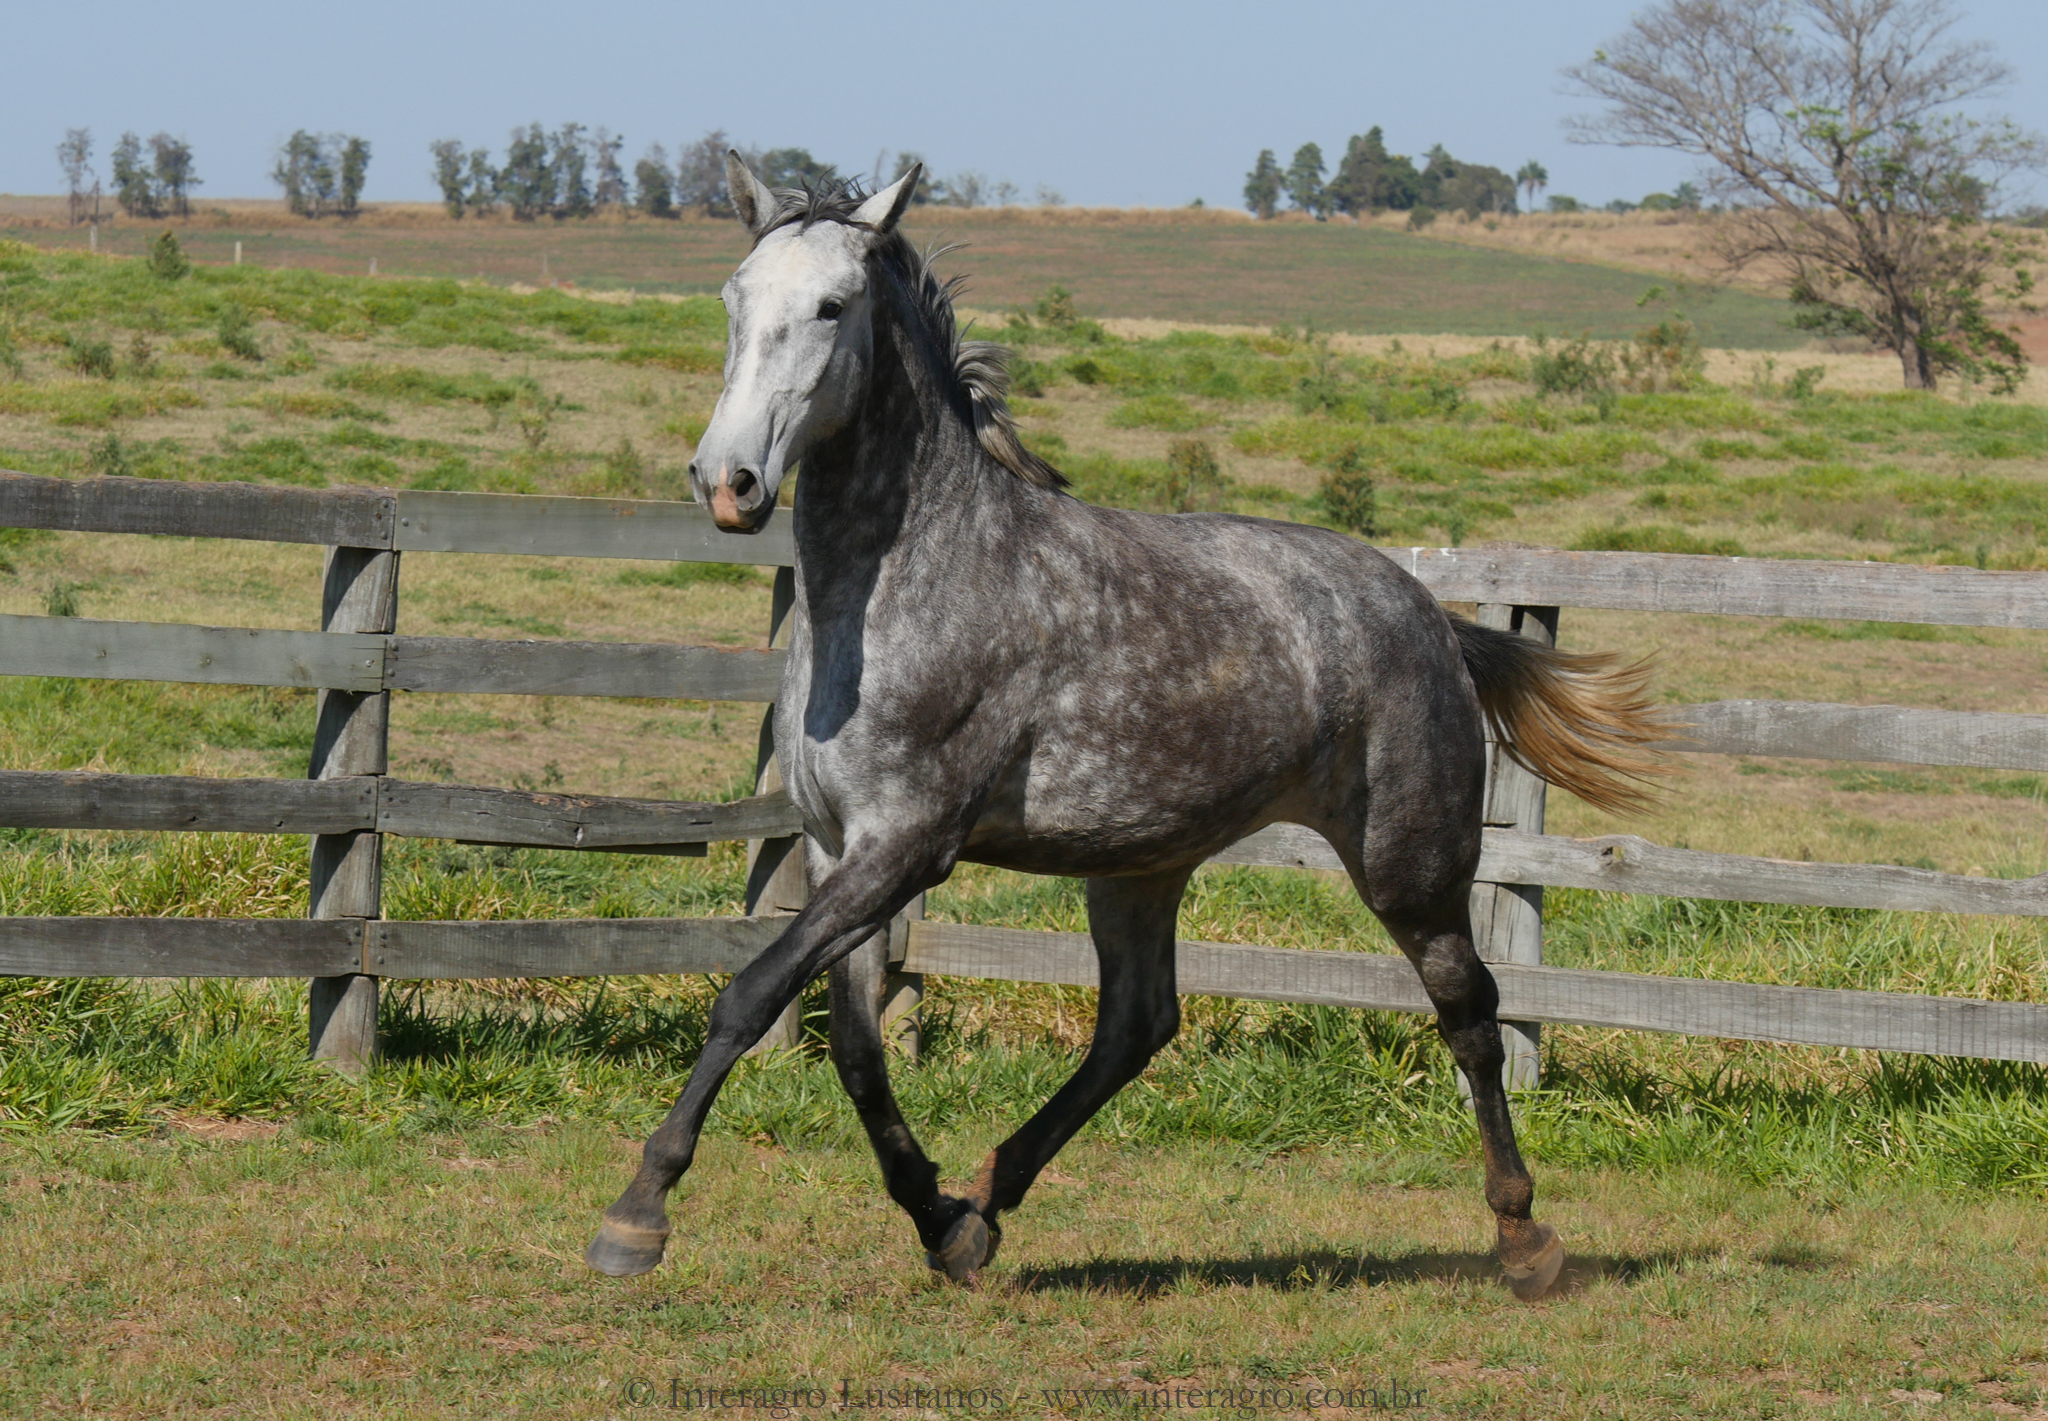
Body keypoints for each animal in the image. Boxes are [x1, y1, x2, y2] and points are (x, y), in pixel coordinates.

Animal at [583, 154, 1668, 1301]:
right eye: (733, 298)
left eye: (832, 307)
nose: (727, 481)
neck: (913, 583)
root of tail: (1426, 611)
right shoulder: (843, 851)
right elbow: (857, 1052)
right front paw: (937, 1219)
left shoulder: (907, 846)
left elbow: (747, 997)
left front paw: (637, 1213)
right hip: (1140, 866)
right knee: (1138, 1024)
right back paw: (987, 1201)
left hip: (1408, 863)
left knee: (1469, 1010)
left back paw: (1526, 1238)